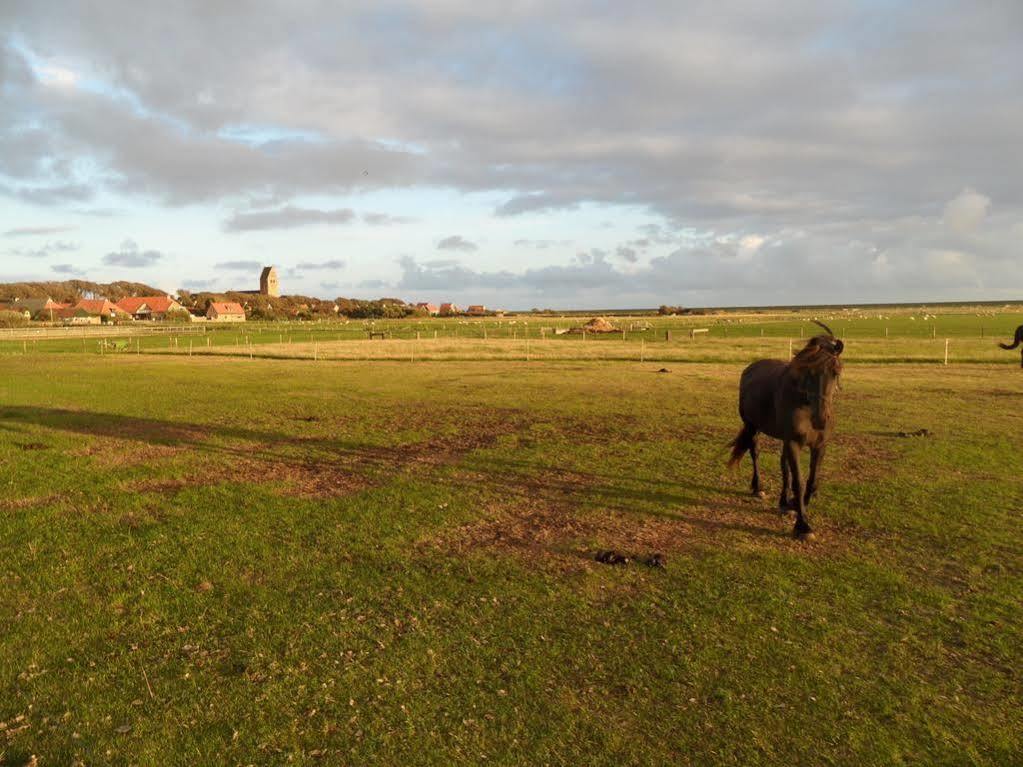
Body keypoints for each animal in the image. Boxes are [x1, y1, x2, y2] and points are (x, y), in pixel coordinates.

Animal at [732, 321, 842, 544]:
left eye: (836, 372)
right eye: (809, 374)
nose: (821, 419)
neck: (805, 405)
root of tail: (750, 368)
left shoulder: (819, 446)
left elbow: (811, 481)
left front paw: (793, 505)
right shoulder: (793, 443)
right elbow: (799, 481)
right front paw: (803, 525)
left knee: (783, 466)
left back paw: (783, 501)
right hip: (752, 427)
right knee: (754, 453)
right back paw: (758, 487)